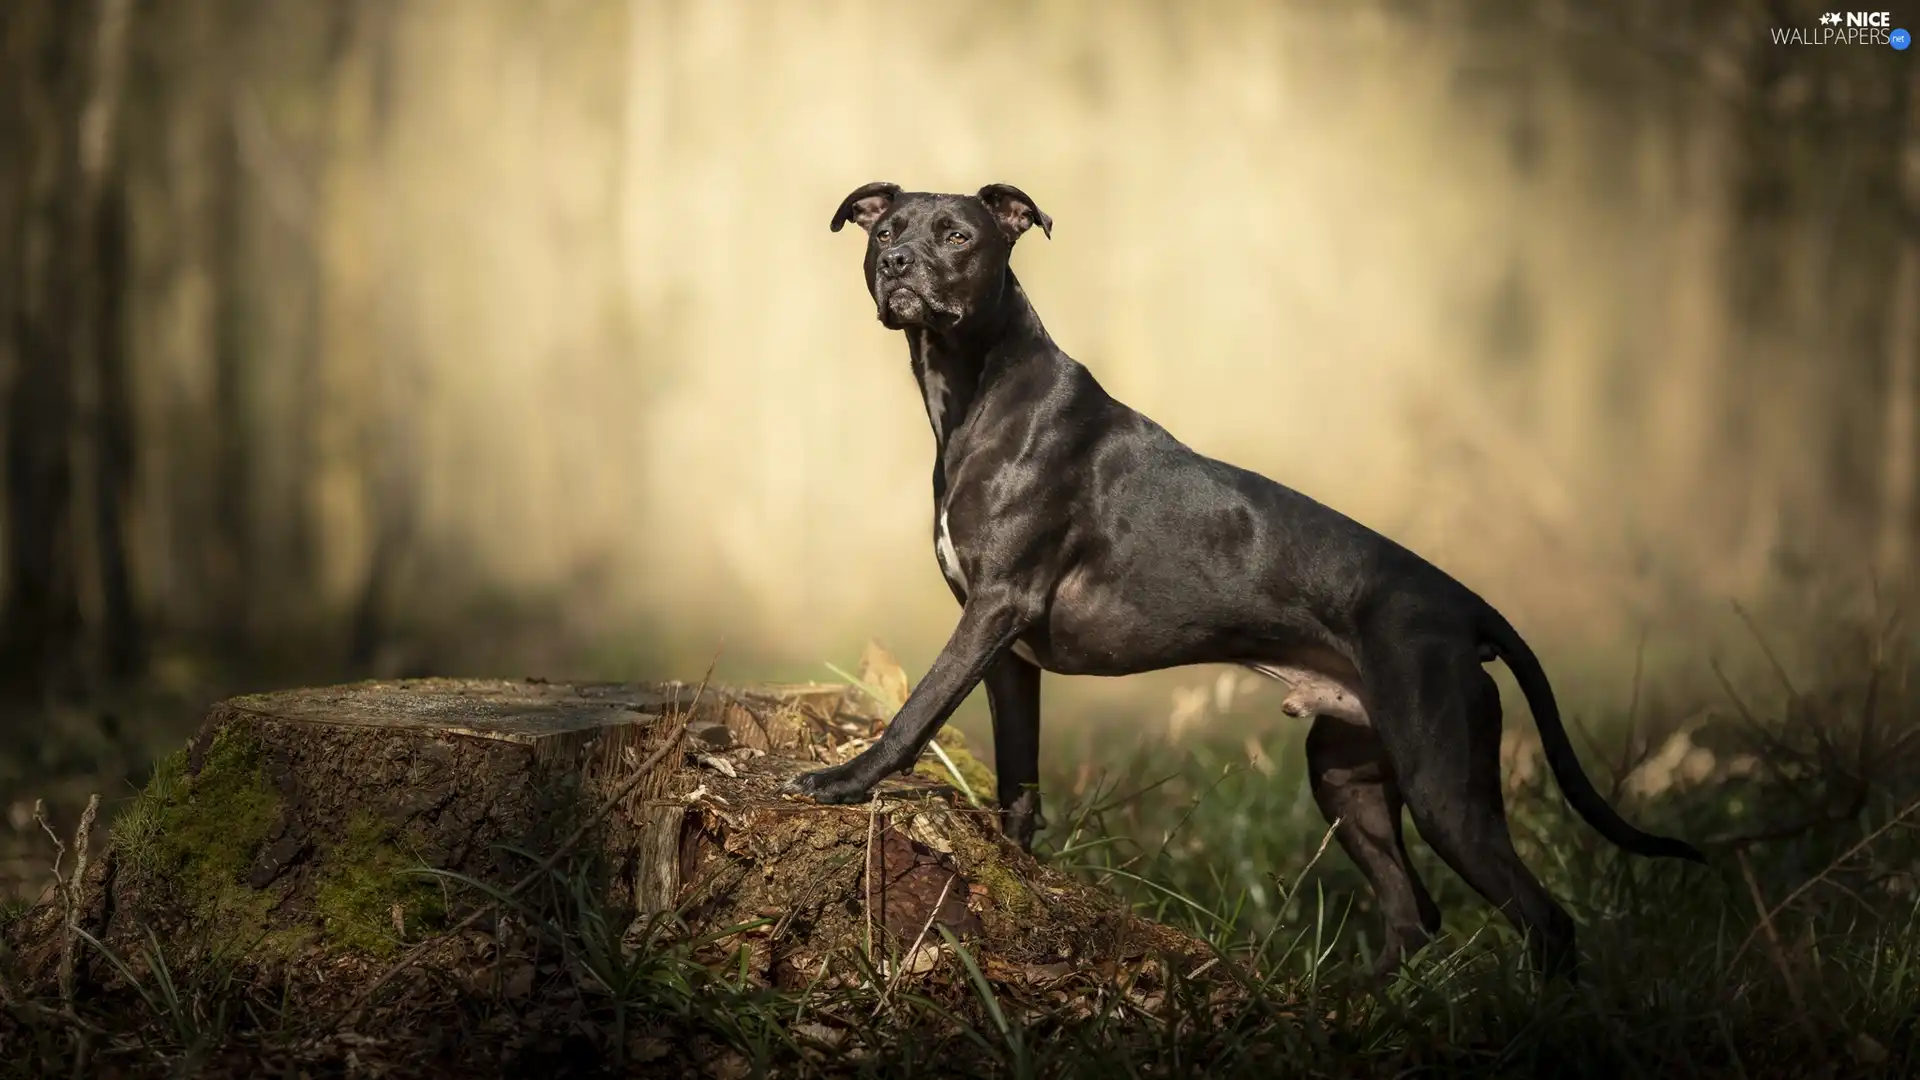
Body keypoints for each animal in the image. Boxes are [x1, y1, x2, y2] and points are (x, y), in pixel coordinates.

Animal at [783, 180, 1712, 972]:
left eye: (958, 236)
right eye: (885, 232)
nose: (899, 265)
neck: (979, 386)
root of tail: (1467, 608)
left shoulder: (991, 613)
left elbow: (916, 712)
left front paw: (843, 782)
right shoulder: (1008, 650)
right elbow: (1018, 777)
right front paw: (1013, 865)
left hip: (1444, 783)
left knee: (1543, 920)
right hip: (1347, 777)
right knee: (1413, 915)